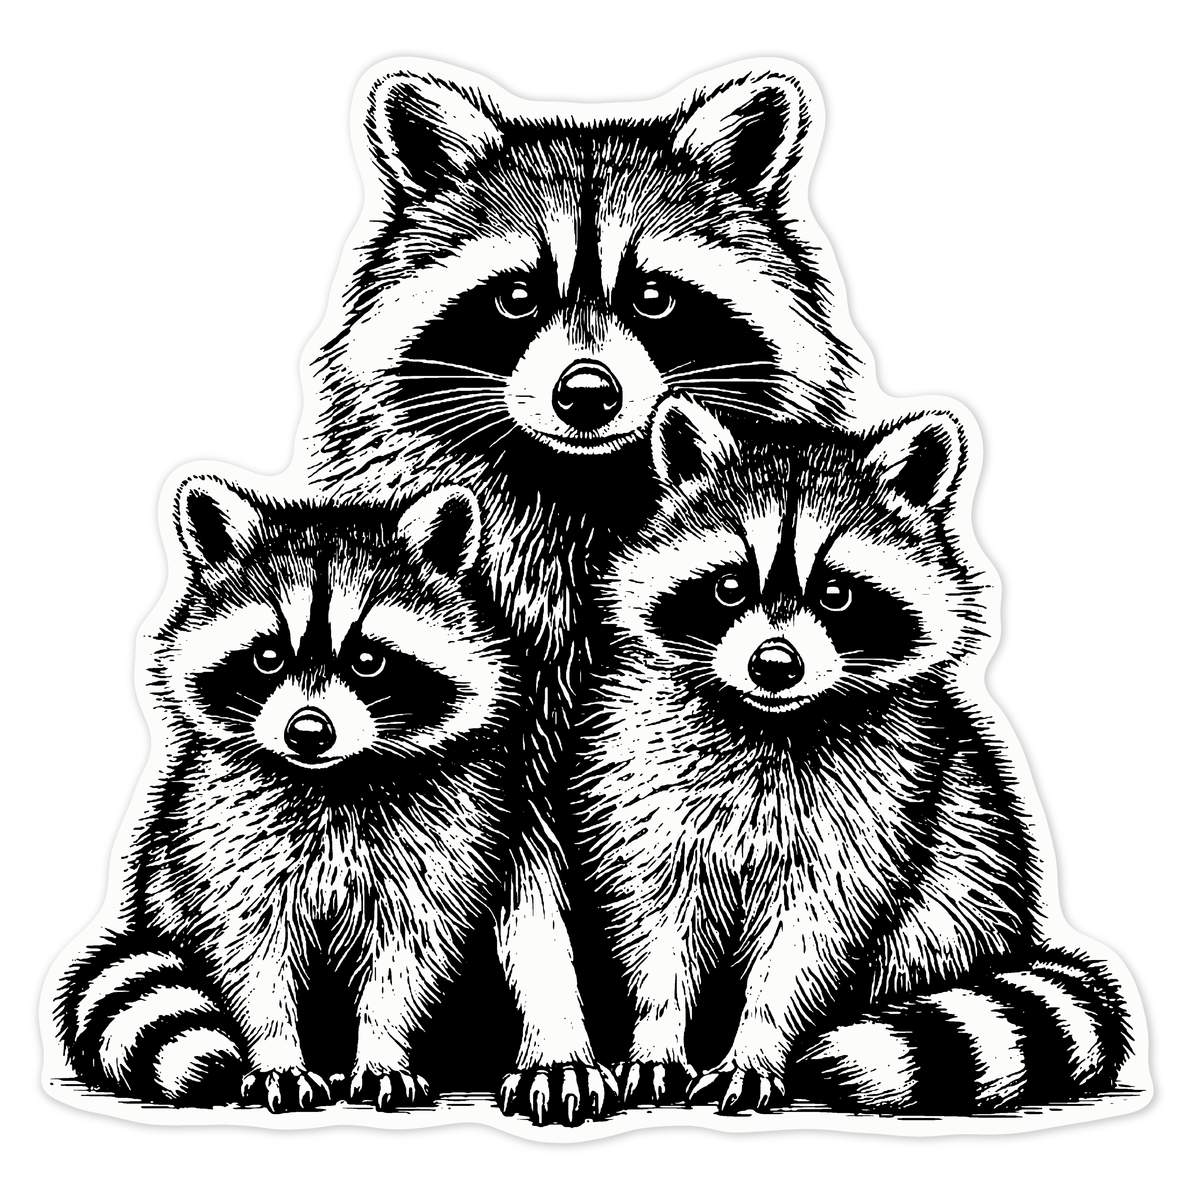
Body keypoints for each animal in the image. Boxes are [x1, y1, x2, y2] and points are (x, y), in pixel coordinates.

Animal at [56, 479, 516, 1112]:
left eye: (368, 661)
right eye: (268, 657)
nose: (308, 731)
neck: (333, 780)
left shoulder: (436, 844)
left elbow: (406, 960)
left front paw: (384, 1050)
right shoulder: (222, 838)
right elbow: (251, 959)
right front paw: (276, 1054)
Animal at [306, 60, 858, 1123]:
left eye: (655, 298)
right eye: (518, 298)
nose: (587, 394)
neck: (590, 483)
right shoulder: (500, 648)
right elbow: (516, 867)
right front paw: (559, 1031)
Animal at [575, 399, 1131, 1115]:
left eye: (835, 595)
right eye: (729, 587)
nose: (774, 665)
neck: (771, 722)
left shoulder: (873, 806)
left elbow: (808, 939)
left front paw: (758, 1045)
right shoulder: (651, 780)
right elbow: (660, 926)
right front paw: (657, 1033)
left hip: (963, 900)